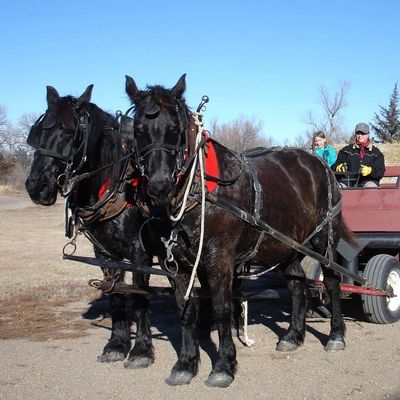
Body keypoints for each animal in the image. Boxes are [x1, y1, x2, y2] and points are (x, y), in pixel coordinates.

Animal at [25, 84, 155, 368]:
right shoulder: (105, 253)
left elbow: (140, 295)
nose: (35, 186)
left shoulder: (140, 253)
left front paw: (141, 350)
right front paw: (116, 345)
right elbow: (115, 294)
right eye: (37, 133)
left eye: (68, 131)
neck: (116, 185)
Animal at [125, 73, 354, 386]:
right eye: (138, 130)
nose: (160, 186)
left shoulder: (218, 260)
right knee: (297, 284)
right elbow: (185, 310)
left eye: (175, 128)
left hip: (323, 239)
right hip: (288, 245)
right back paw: (293, 335)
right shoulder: (176, 264)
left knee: (331, 281)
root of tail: (320, 165)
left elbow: (222, 309)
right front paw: (186, 363)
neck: (200, 189)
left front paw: (223, 365)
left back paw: (336, 335)